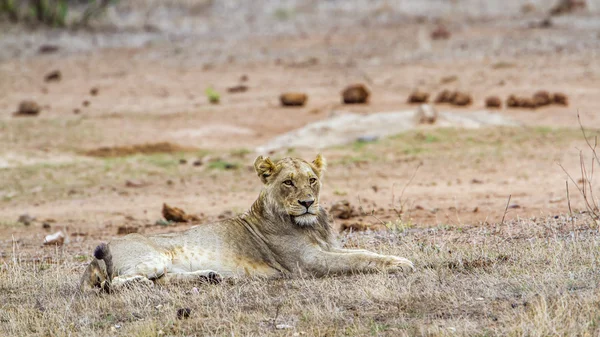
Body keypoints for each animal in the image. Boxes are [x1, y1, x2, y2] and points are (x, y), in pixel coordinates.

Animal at [79, 154, 412, 290]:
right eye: (288, 182)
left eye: (312, 180)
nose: (307, 202)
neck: (311, 225)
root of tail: (89, 264)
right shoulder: (307, 262)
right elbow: (357, 259)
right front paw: (400, 264)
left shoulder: (327, 249)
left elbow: (363, 252)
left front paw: (397, 259)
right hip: (152, 258)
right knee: (117, 282)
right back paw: (138, 283)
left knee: (163, 280)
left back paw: (209, 277)